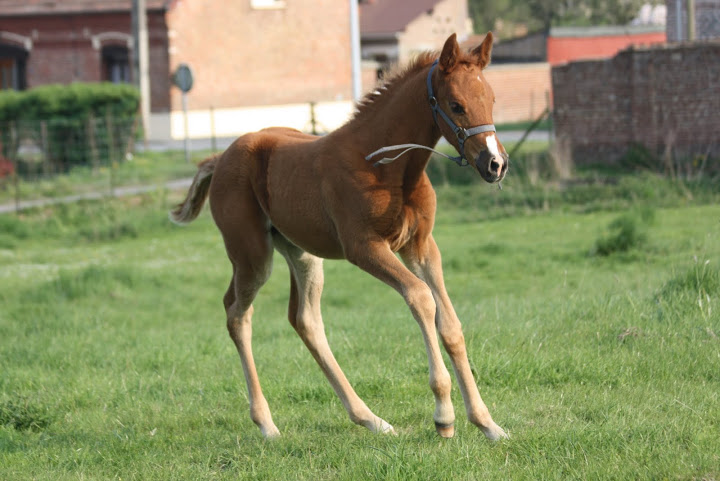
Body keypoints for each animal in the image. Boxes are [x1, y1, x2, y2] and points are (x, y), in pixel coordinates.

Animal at [169, 32, 510, 438]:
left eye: (491, 99)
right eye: (456, 105)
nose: (495, 163)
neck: (384, 167)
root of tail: (220, 158)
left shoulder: (421, 246)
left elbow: (451, 324)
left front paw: (488, 423)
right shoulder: (364, 247)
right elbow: (421, 298)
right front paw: (444, 416)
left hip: (301, 253)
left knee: (305, 319)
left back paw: (371, 418)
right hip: (251, 255)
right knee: (237, 313)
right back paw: (266, 423)